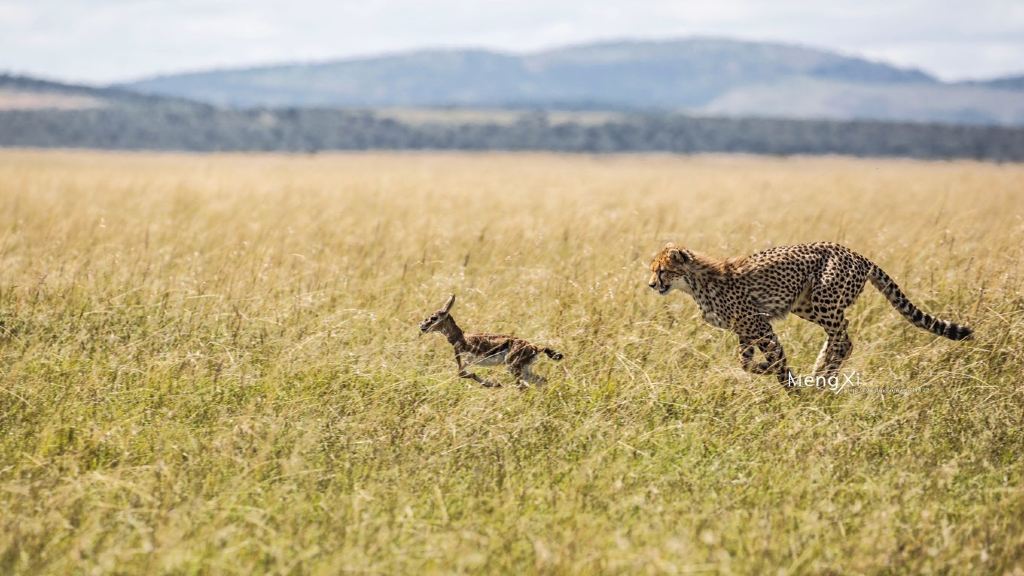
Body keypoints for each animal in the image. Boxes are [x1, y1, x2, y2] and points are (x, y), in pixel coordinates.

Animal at [417, 295, 569, 385]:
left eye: (434, 318)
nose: (422, 326)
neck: (460, 337)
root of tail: (535, 348)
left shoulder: (465, 360)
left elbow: (462, 373)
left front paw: (494, 384)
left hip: (513, 368)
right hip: (524, 369)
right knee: (541, 381)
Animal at [647, 239, 974, 387]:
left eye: (662, 270)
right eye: (653, 270)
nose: (651, 285)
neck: (695, 283)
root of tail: (857, 254)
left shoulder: (759, 325)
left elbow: (776, 359)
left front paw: (789, 385)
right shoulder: (744, 330)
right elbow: (744, 363)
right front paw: (765, 370)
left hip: (823, 300)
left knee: (844, 339)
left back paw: (822, 377)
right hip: (806, 305)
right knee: (839, 337)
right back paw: (820, 371)